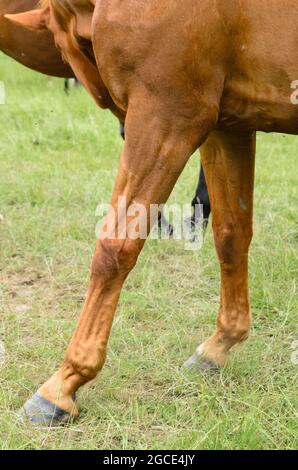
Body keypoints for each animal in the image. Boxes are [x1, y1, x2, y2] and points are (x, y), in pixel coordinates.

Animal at [5, 0, 296, 426]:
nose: (112, 106)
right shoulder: (228, 125)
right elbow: (230, 233)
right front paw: (221, 343)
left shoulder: (167, 114)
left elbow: (115, 248)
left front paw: (64, 383)